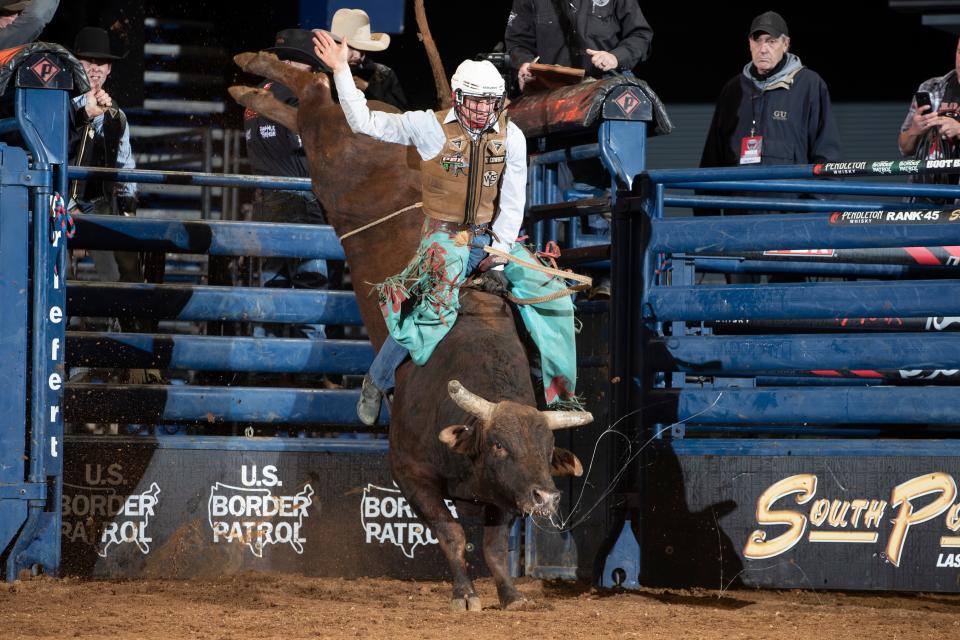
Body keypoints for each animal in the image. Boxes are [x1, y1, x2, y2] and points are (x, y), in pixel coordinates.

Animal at [231, 1, 592, 608]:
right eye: (500, 447)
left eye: (546, 448)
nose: (545, 498)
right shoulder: (409, 473)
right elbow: (450, 532)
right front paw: (465, 593)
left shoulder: (500, 501)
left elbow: (493, 542)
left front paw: (510, 593)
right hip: (335, 149)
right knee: (316, 95)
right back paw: (260, 66)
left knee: (309, 101)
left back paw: (257, 82)